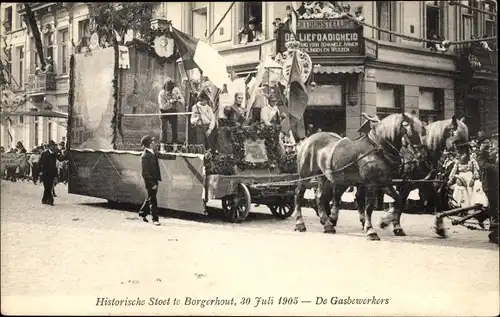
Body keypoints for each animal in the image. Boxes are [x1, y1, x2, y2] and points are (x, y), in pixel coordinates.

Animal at [292, 112, 426, 238]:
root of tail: (307, 139)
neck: (377, 148)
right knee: (299, 194)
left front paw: (385, 221)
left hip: (323, 176)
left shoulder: (384, 182)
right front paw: (371, 230)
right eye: (411, 130)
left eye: (423, 130)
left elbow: (398, 200)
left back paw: (327, 224)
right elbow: (369, 207)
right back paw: (300, 223)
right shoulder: (371, 184)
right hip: (304, 175)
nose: (421, 156)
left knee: (319, 197)